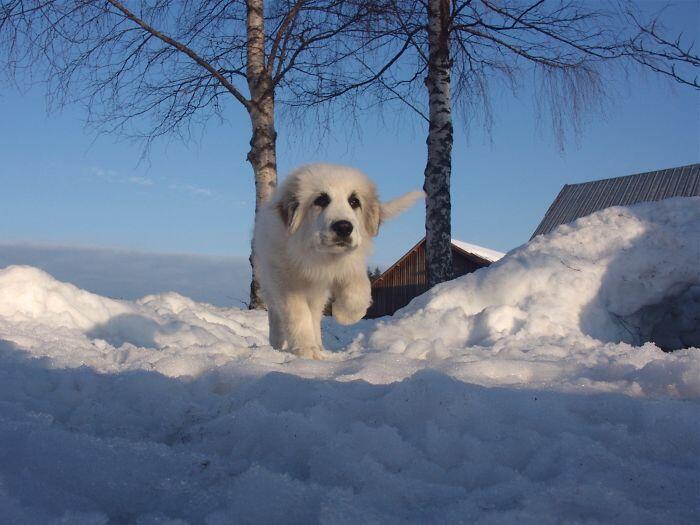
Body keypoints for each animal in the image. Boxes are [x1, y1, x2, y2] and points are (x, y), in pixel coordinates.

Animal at [254, 164, 424, 358]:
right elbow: (298, 314)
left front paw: (344, 314)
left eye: (354, 202)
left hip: (317, 294)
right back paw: (279, 343)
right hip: (269, 283)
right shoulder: (284, 279)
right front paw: (306, 349)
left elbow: (359, 292)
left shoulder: (350, 265)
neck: (317, 256)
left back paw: (318, 344)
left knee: (315, 315)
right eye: (321, 200)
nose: (344, 227)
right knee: (277, 314)